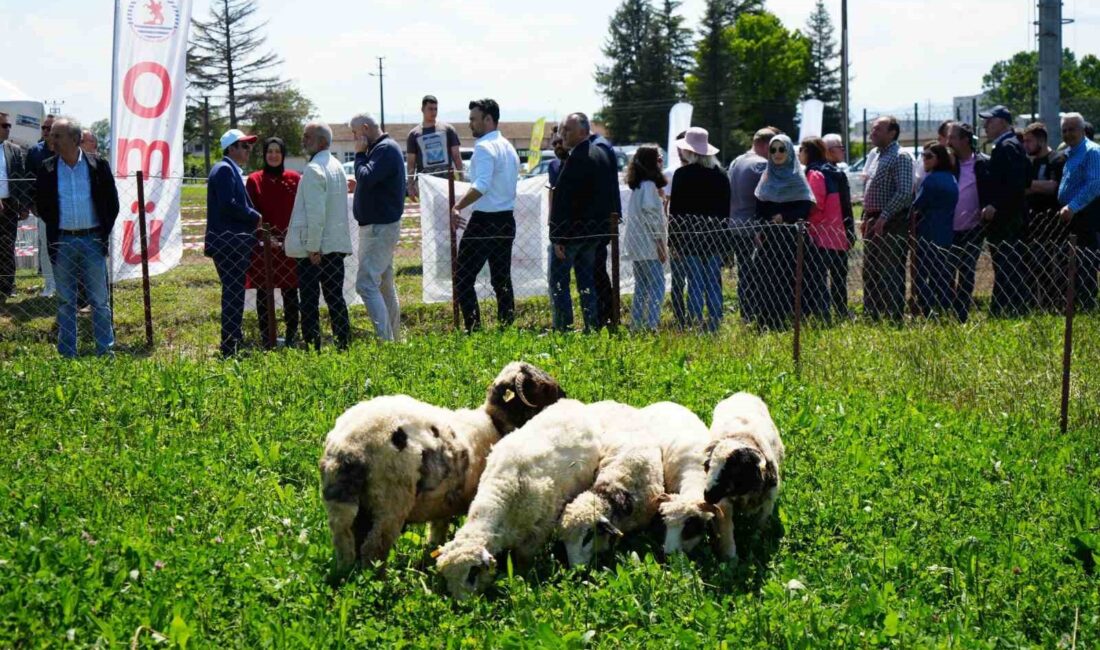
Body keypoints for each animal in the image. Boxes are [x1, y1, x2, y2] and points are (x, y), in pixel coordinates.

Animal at [316, 360, 558, 576]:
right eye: (544, 388)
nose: (564, 399)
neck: (494, 424)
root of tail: (349, 448)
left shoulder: (444, 501)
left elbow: (438, 529)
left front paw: (431, 552)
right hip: (389, 503)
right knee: (373, 549)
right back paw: (377, 583)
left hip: (342, 507)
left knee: (346, 546)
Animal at [431, 400, 602, 602]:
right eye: (447, 577)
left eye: (472, 574)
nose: (463, 605)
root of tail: (572, 402)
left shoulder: (538, 531)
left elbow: (524, 560)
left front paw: (523, 578)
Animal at [699, 391, 787, 563]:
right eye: (707, 466)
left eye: (733, 472)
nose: (708, 496)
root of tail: (742, 393)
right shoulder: (724, 505)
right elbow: (727, 532)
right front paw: (731, 560)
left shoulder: (767, 504)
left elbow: (757, 530)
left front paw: (753, 547)